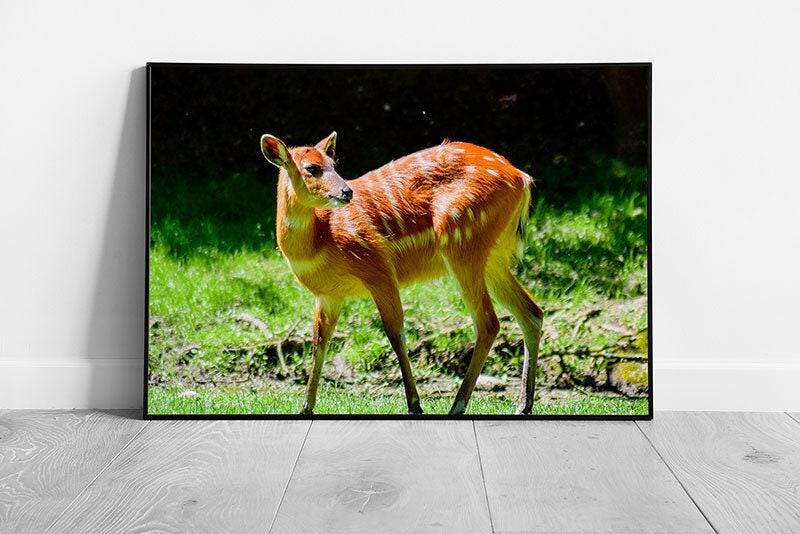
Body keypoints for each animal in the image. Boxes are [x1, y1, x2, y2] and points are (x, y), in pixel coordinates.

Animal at [260, 132, 543, 415]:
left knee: (488, 321)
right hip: (494, 257)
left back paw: (457, 405)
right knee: (531, 312)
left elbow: (394, 332)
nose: (346, 191)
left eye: (334, 164)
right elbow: (320, 340)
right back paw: (523, 405)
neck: (321, 240)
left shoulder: (378, 268)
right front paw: (305, 408)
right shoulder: (329, 294)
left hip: (462, 241)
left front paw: (415, 404)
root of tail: (522, 178)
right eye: (312, 168)